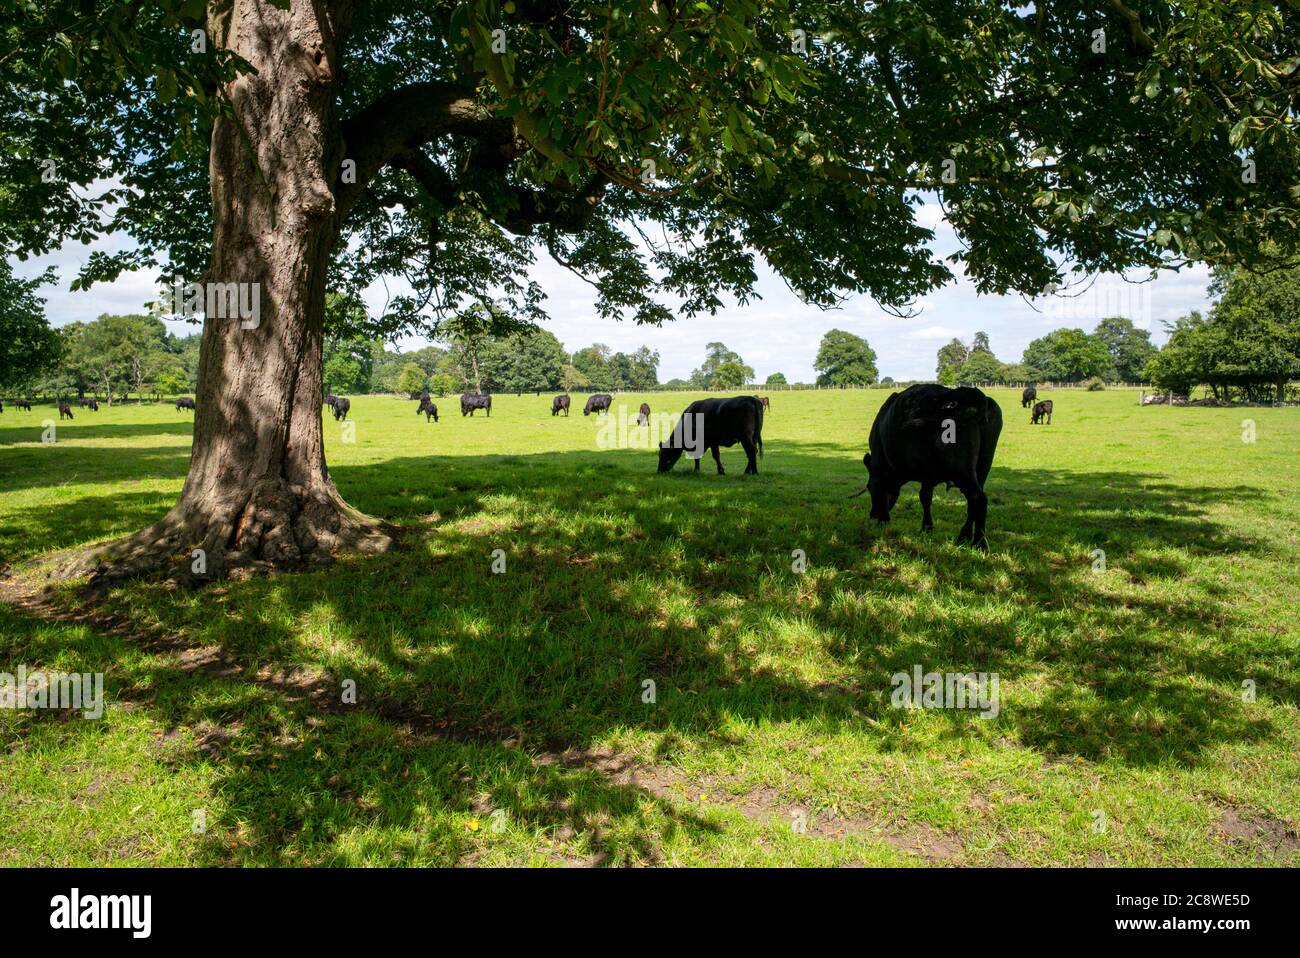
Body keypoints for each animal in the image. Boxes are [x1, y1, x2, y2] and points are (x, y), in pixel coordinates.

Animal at [863, 379, 1003, 545]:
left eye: (869, 488)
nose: (872, 515)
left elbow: (891, 491)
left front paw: (884, 520)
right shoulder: (928, 474)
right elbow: (926, 496)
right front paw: (927, 527)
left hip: (961, 469)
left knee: (978, 499)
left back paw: (979, 543)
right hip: (984, 465)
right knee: (973, 503)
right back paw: (964, 537)